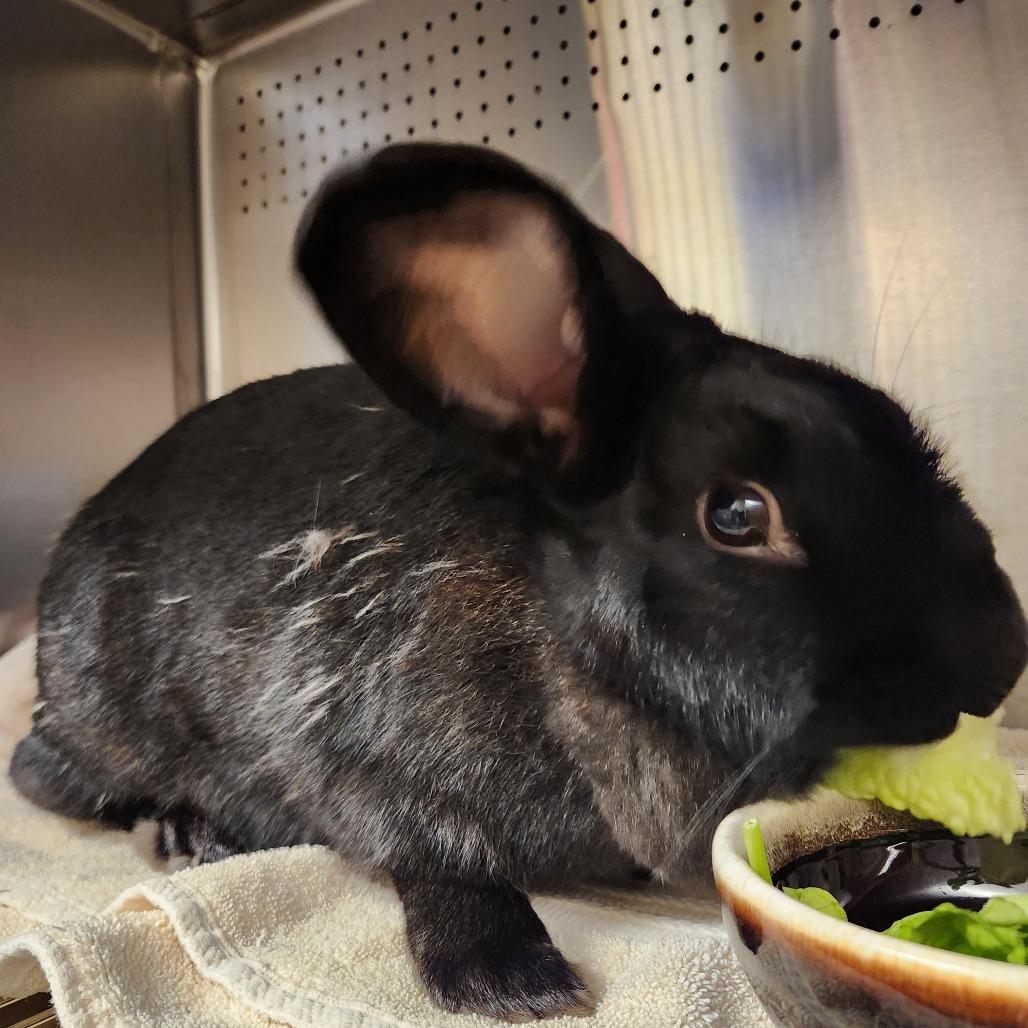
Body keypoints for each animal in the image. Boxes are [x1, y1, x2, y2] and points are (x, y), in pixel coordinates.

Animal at [10, 142, 1027, 1021]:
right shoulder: (368, 765)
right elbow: (444, 865)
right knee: (38, 773)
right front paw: (511, 981)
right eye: (738, 515)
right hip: (106, 724)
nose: (1001, 654)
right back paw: (186, 832)